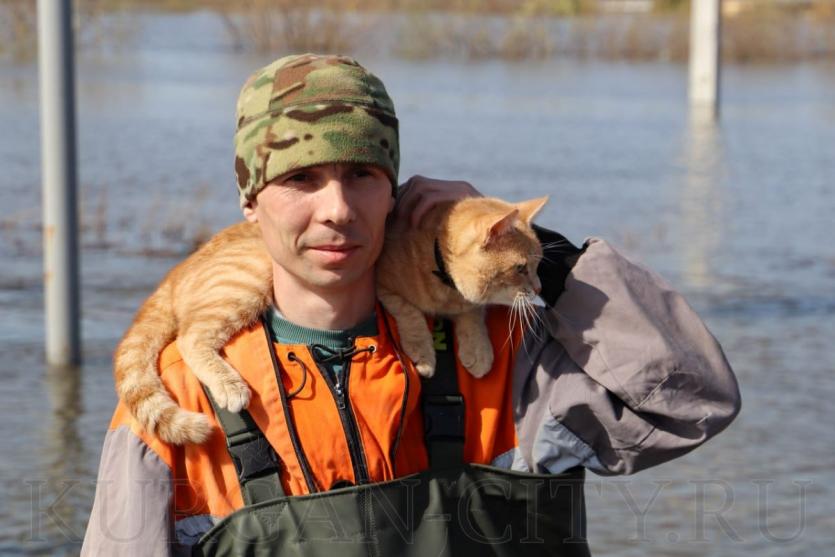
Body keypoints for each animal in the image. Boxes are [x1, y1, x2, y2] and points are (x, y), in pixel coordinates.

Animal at [116, 195, 548, 444]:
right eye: (522, 268)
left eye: (539, 264)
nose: (541, 286)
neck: (438, 265)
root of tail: (175, 273)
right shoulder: (381, 285)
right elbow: (409, 313)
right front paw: (424, 353)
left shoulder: (462, 302)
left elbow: (472, 312)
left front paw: (477, 350)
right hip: (248, 281)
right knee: (191, 338)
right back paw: (229, 385)